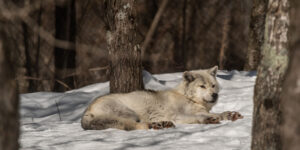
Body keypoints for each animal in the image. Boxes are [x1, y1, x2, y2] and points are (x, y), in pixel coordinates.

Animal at [81, 66, 243, 130]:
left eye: (213, 85)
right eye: (202, 86)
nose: (215, 95)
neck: (189, 98)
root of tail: (86, 111)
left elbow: (219, 114)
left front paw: (230, 114)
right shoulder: (178, 115)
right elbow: (200, 117)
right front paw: (209, 119)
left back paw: (162, 124)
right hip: (130, 114)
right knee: (133, 125)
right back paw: (156, 125)